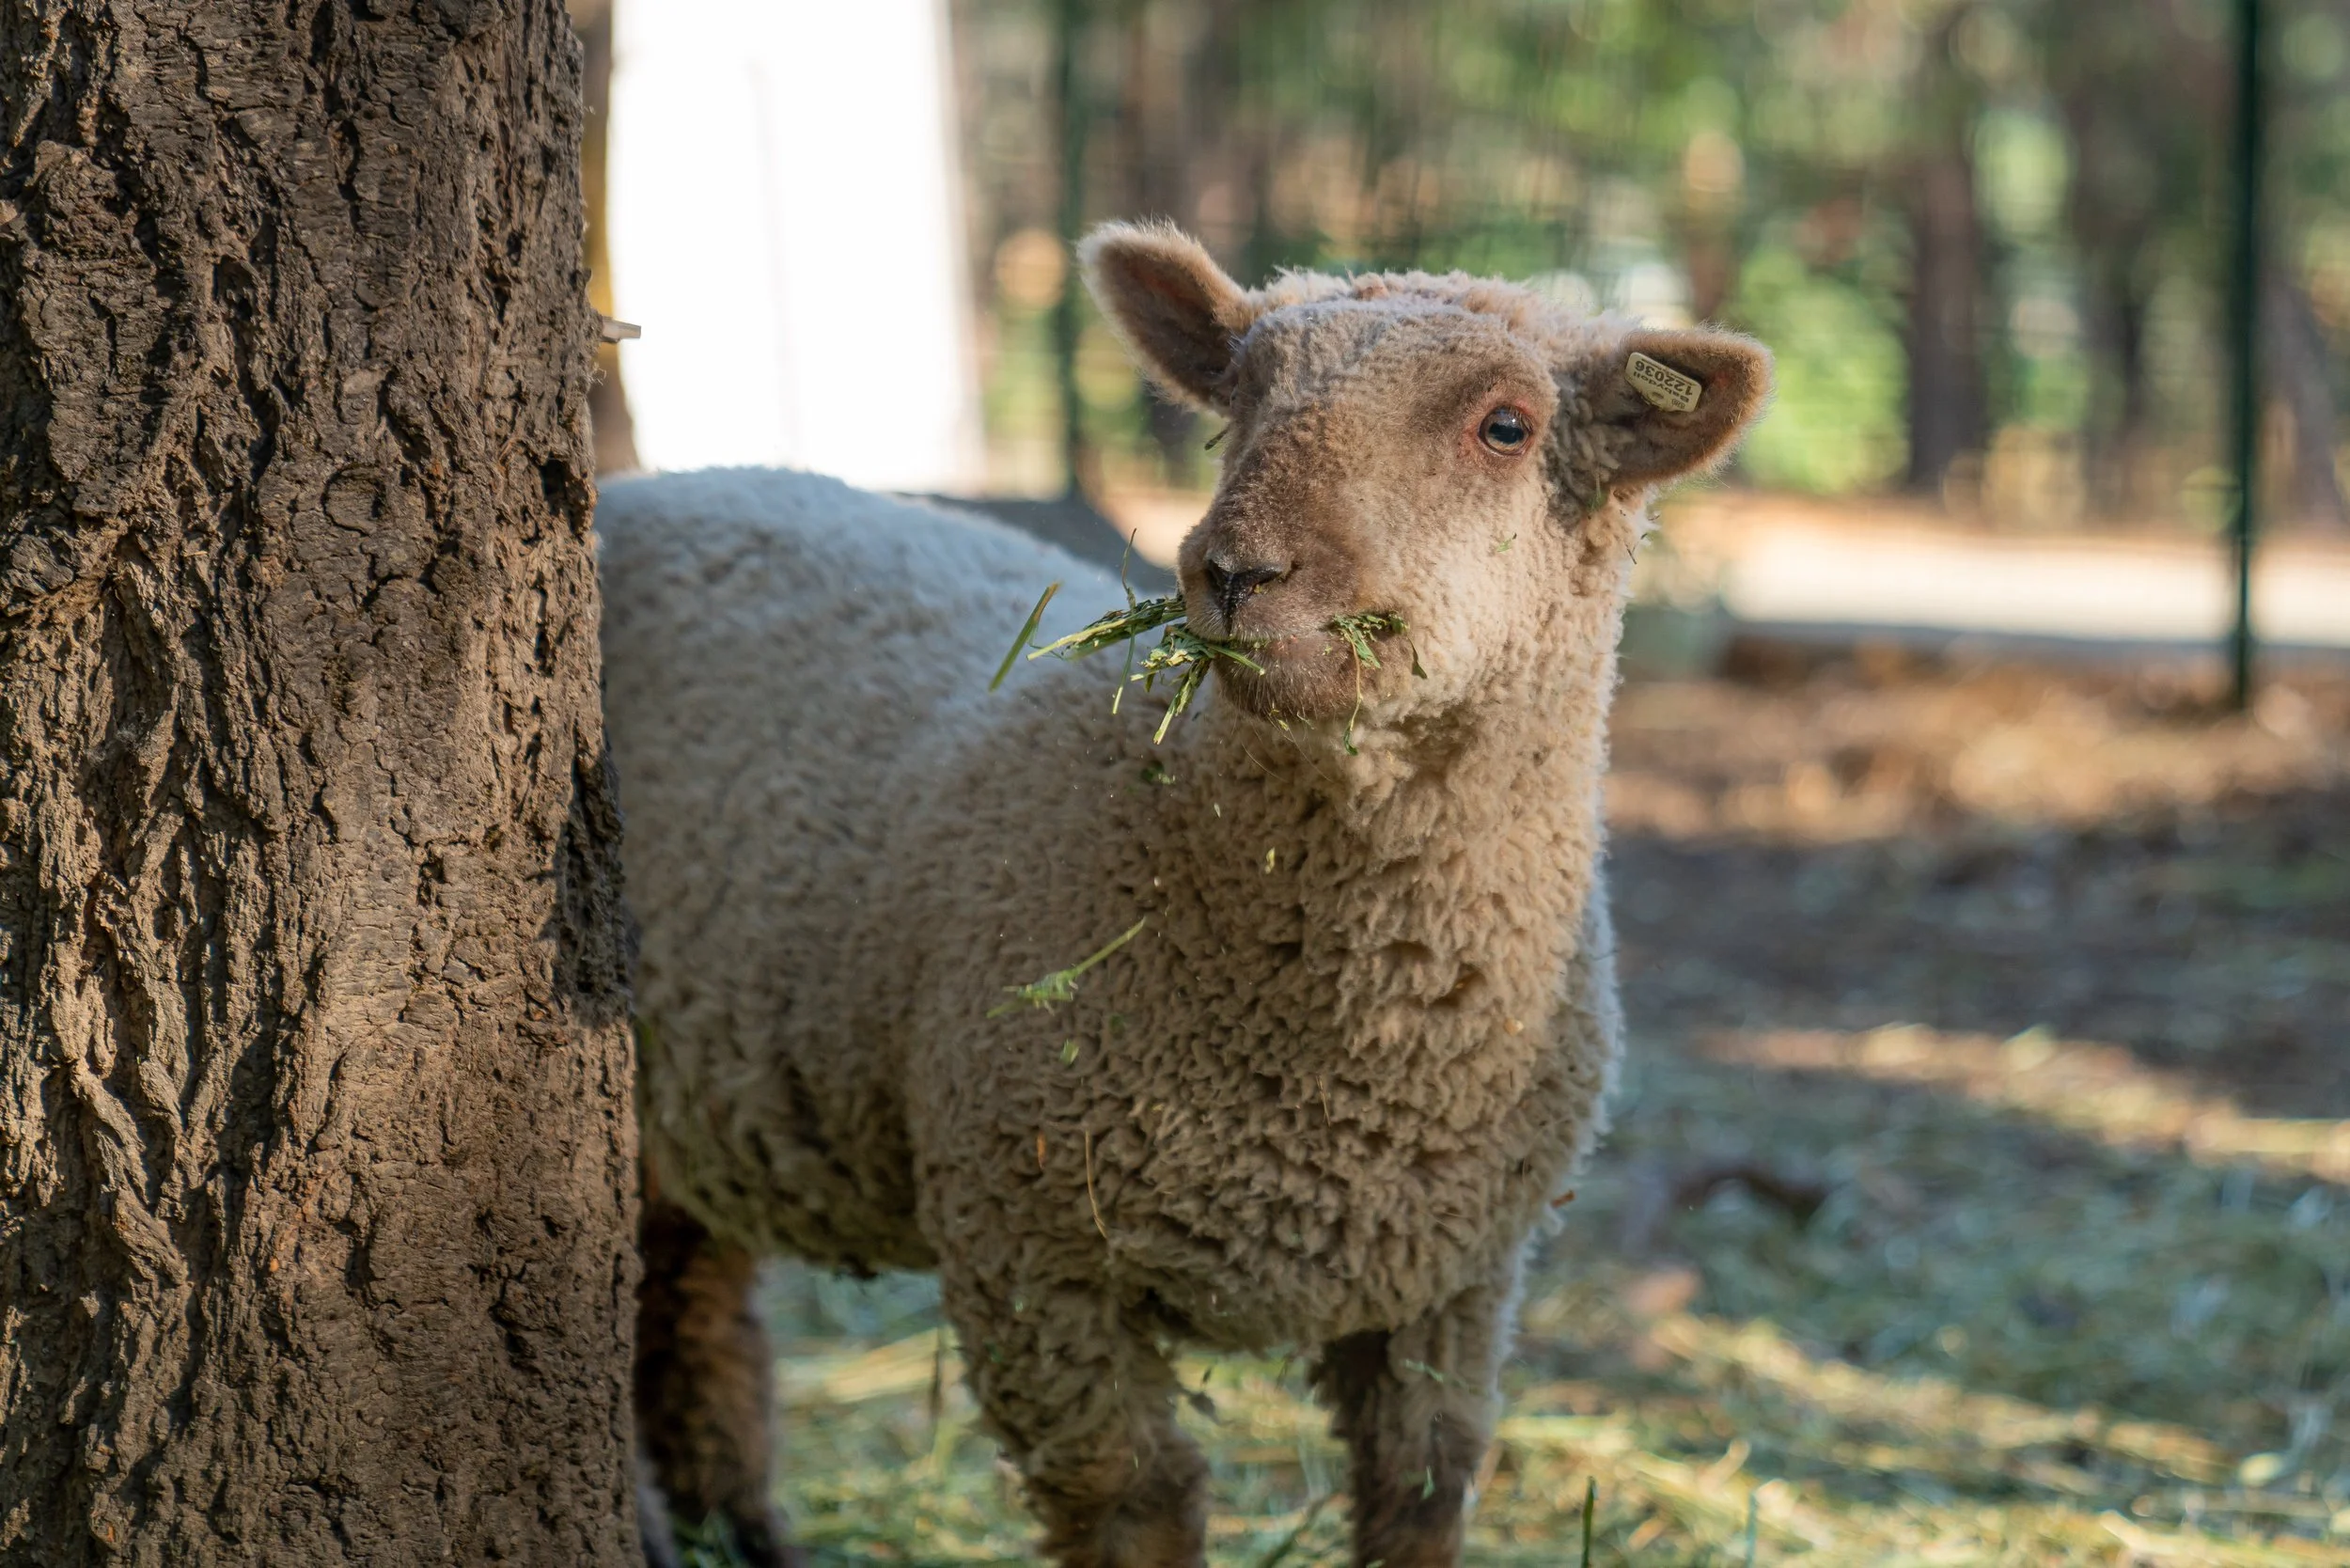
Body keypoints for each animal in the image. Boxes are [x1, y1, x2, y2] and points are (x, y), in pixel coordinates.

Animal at [600, 221, 1771, 1568]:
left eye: (1507, 426)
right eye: (1240, 399)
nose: (1233, 570)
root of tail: (639, 489)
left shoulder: (1455, 1285)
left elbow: (1421, 1496)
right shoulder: (1030, 1252)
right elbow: (1137, 1505)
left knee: (689, 1305)